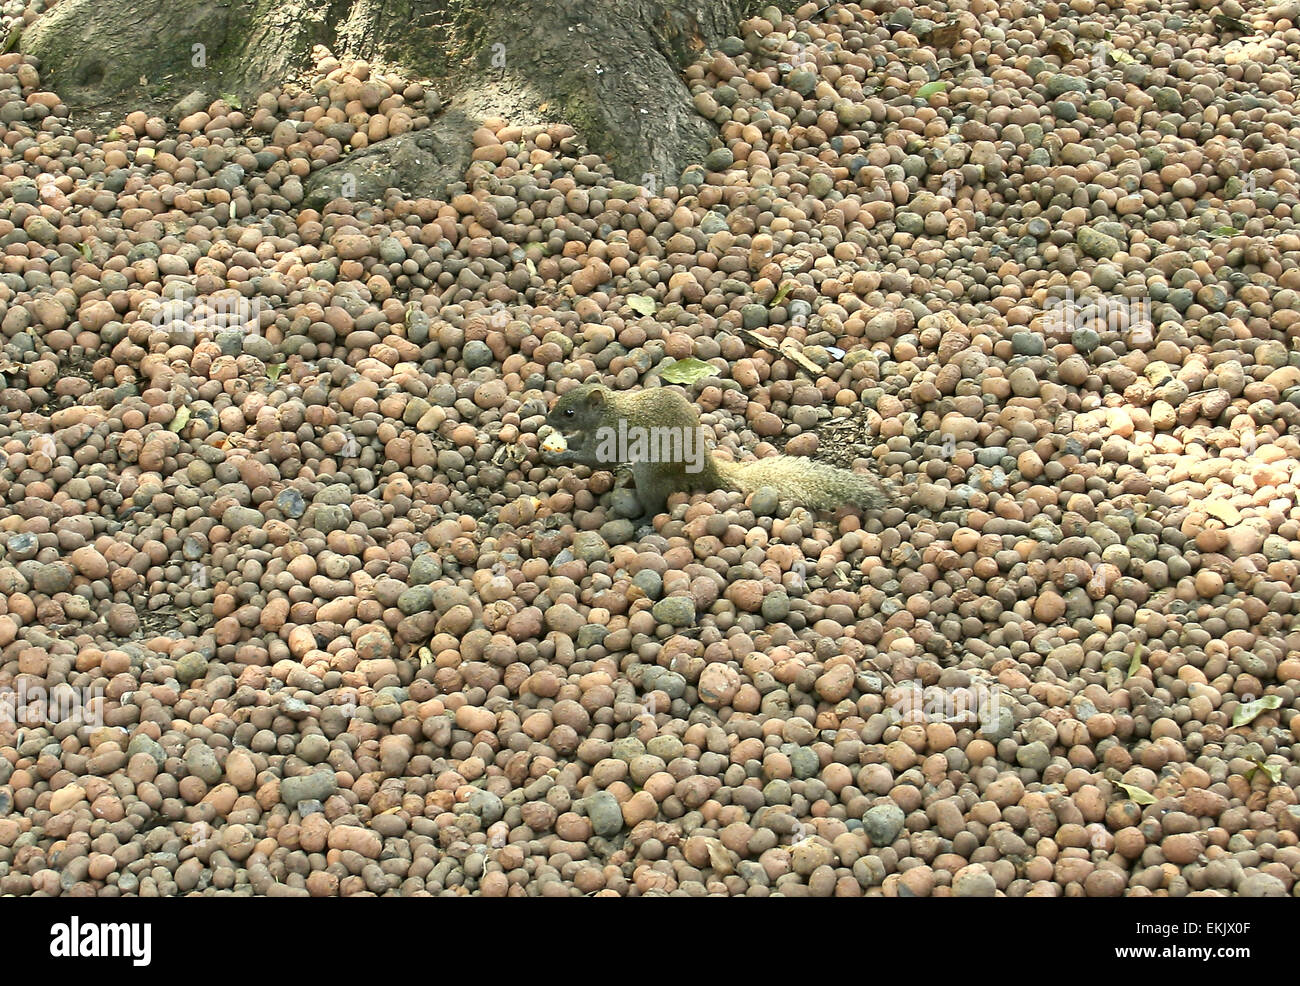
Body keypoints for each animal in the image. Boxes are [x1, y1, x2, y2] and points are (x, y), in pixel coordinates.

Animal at [544, 383, 891, 521]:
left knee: (656, 503)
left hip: (652, 471)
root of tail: (706, 469)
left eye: (569, 413)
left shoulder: (613, 435)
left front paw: (556, 456)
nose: (548, 420)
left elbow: (593, 458)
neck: (610, 410)